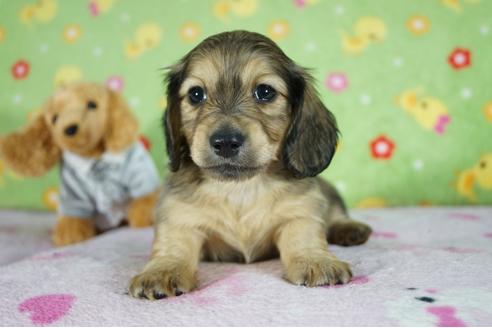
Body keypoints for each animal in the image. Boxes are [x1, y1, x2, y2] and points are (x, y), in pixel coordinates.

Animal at [129, 30, 370, 300]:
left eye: (265, 92)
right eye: (195, 94)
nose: (225, 142)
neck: (239, 189)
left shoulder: (301, 210)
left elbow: (304, 237)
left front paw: (316, 260)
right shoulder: (179, 217)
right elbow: (172, 246)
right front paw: (162, 270)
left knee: (336, 212)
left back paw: (349, 228)